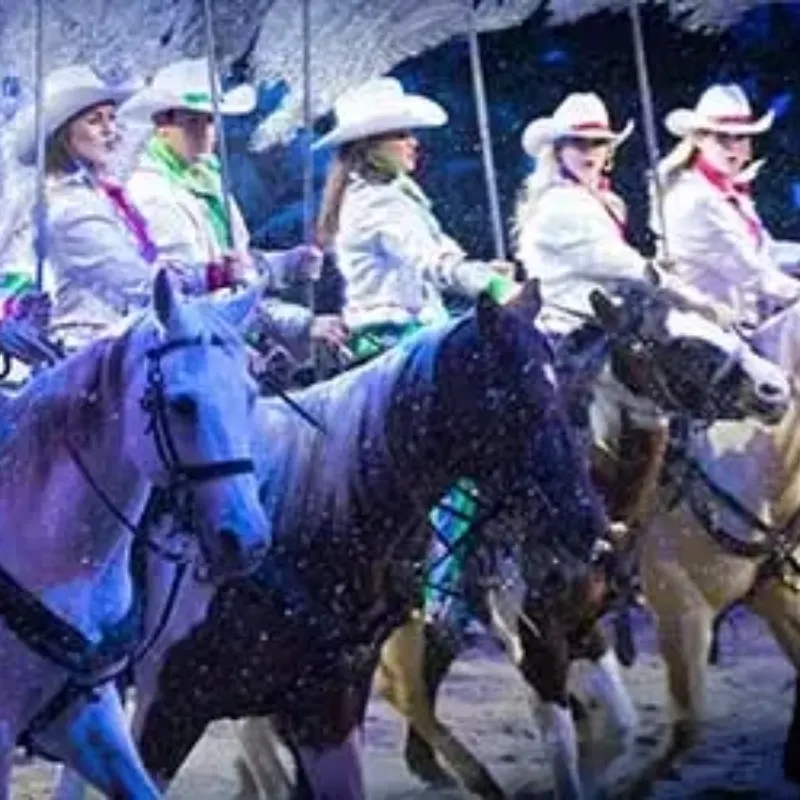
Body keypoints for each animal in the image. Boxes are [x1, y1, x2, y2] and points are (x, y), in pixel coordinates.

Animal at [230, 280, 795, 800]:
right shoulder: (548, 638)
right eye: (672, 341)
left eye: (718, 318)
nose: (774, 389)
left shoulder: (587, 628)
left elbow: (618, 729)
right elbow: (570, 745)